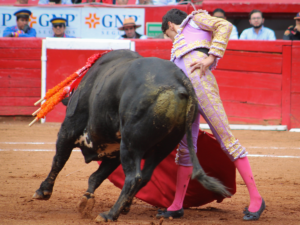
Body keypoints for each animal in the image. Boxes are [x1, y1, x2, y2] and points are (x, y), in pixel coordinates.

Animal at [32, 49, 230, 221]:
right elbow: (96, 176)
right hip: (163, 146)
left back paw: (109, 215)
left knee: (134, 177)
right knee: (145, 176)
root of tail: (181, 81)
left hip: (130, 144)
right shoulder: (114, 151)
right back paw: (123, 207)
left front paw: (43, 191)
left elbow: (59, 160)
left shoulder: (68, 130)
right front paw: (86, 200)